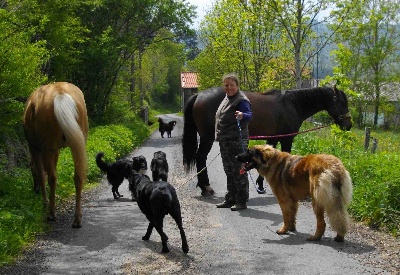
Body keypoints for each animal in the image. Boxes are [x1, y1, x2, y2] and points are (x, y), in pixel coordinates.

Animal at [23, 82, 89, 229]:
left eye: (30, 169)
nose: (34, 190)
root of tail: (60, 94)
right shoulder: (56, 150)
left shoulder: (35, 148)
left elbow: (42, 174)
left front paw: (45, 203)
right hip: (77, 143)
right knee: (78, 177)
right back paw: (77, 219)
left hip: (48, 147)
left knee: (52, 178)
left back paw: (51, 213)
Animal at [183, 85, 352, 196]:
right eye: (342, 103)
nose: (348, 125)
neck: (292, 104)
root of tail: (199, 95)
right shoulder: (287, 139)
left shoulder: (273, 138)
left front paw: (260, 184)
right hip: (207, 138)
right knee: (201, 157)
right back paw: (205, 187)